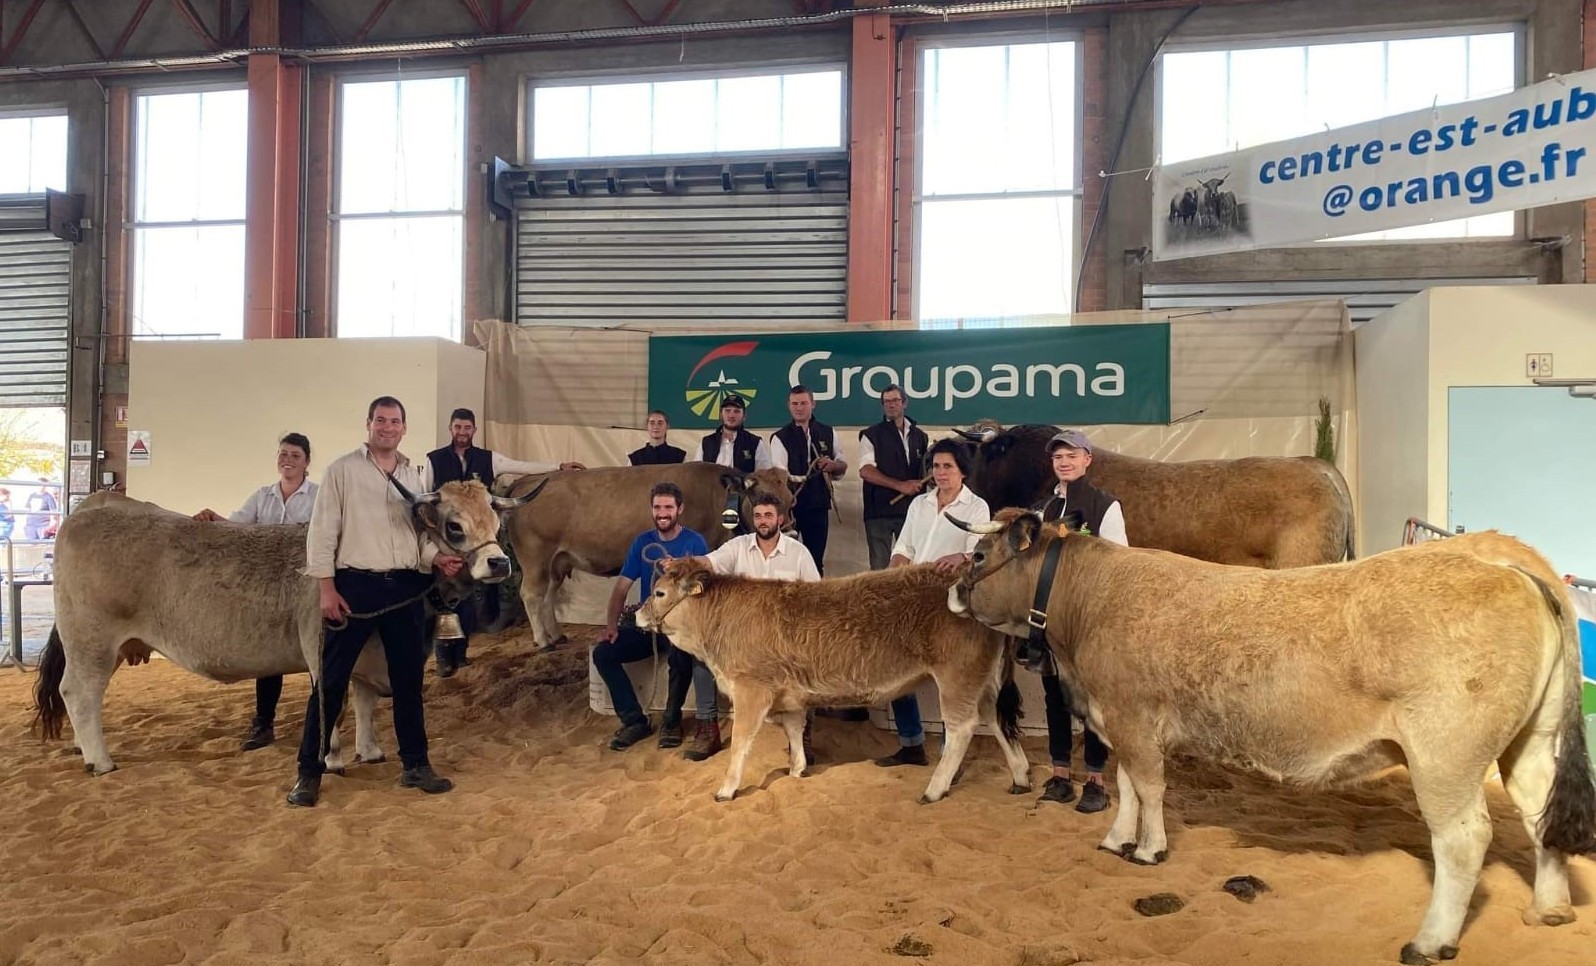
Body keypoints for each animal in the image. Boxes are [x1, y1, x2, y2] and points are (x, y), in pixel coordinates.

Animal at [951, 507, 1589, 958]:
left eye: (978, 553)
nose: (953, 588)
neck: (1087, 601)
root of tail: (1500, 560)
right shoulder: (1121, 725)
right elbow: (1129, 786)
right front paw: (1116, 840)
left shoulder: (1132, 717)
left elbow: (1150, 788)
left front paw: (1150, 849)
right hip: (1532, 741)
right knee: (1539, 813)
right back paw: (1550, 910)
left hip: (1445, 755)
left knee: (1463, 840)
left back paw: (1430, 941)